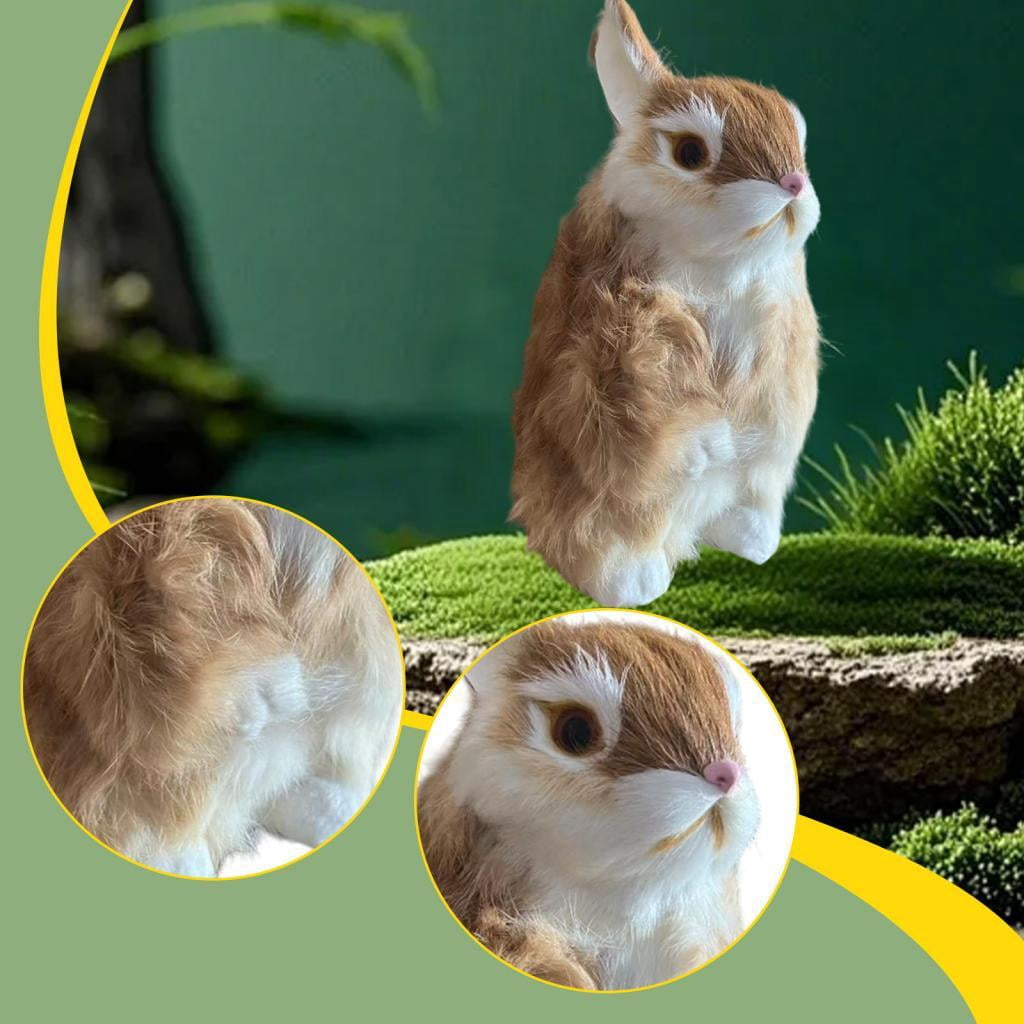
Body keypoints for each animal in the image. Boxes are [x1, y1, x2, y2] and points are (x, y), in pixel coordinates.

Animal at [511, 0, 821, 607]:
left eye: (798, 139)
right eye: (691, 153)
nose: (794, 183)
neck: (720, 265)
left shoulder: (780, 379)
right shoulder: (624, 361)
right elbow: (670, 422)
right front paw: (711, 446)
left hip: (756, 487)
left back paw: (751, 543)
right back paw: (633, 585)